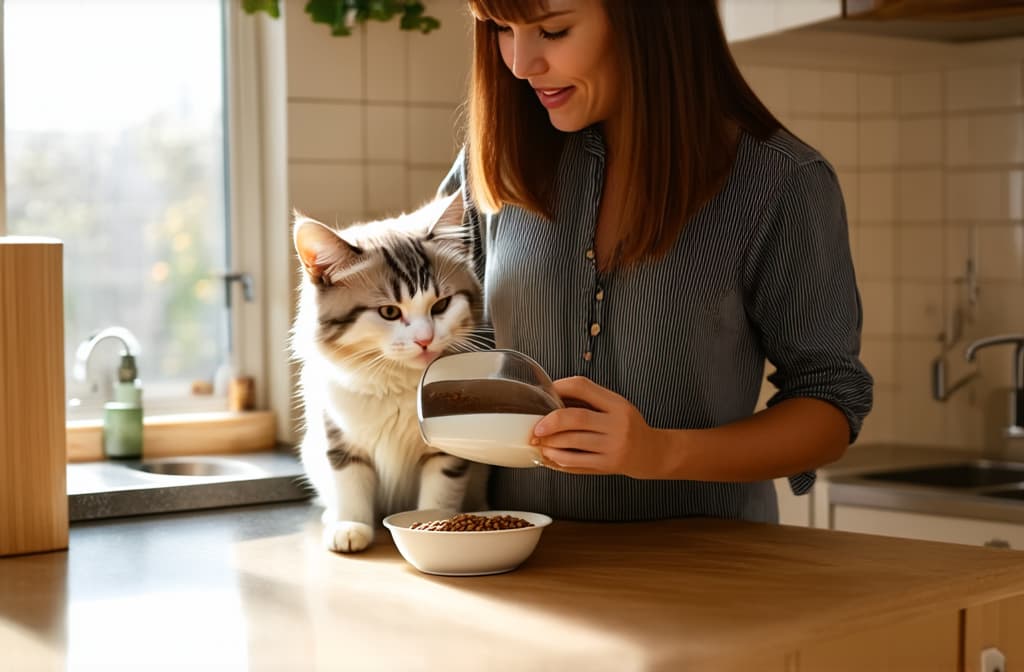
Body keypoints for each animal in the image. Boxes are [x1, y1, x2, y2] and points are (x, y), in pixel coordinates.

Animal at [292, 188, 491, 553]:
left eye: (441, 305)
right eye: (388, 312)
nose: (425, 340)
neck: (399, 383)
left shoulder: (445, 449)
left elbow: (439, 495)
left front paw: (436, 529)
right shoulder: (340, 437)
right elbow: (351, 486)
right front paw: (350, 528)